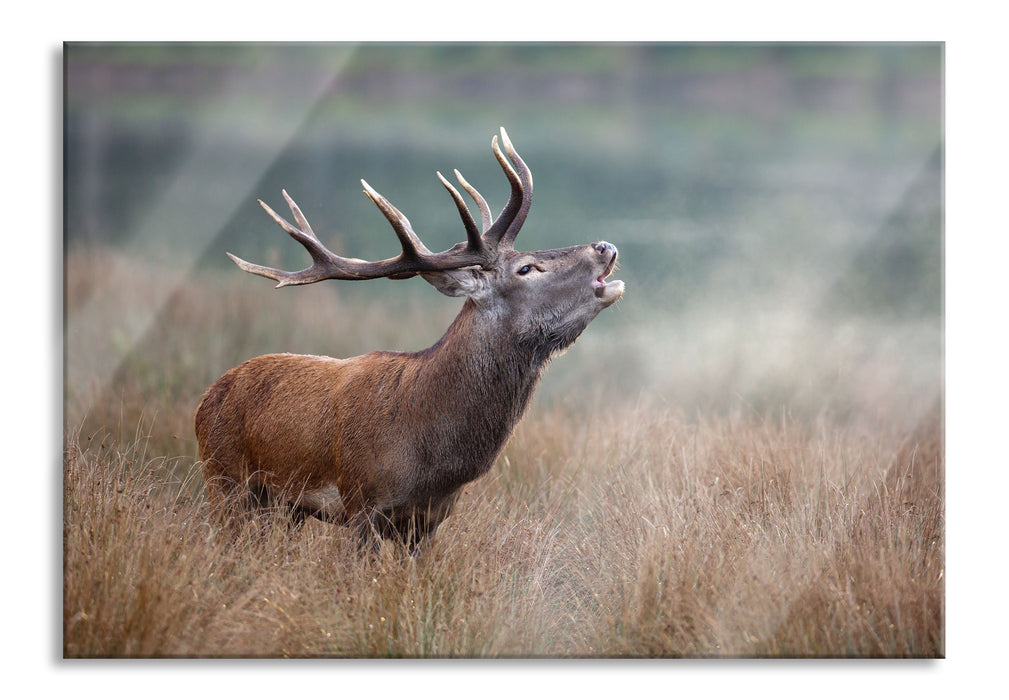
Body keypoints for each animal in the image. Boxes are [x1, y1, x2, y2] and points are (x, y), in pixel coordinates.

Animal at [192, 129, 621, 552]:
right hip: (223, 478)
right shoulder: (362, 502)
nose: (605, 246)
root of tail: (206, 397)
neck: (432, 454)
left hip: (284, 506)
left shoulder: (429, 521)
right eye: (527, 268)